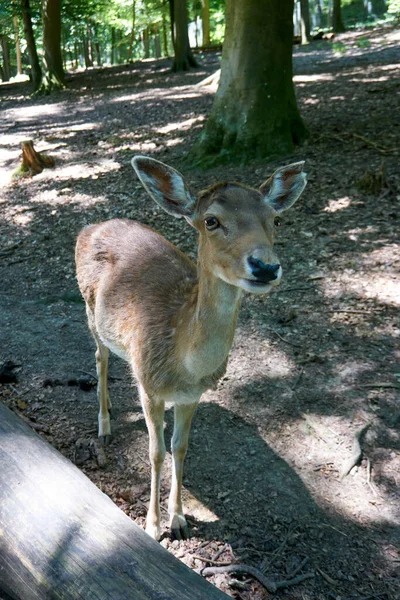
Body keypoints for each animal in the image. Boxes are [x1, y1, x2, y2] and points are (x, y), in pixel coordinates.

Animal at [75, 157, 306, 540]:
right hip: (90, 310)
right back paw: (104, 425)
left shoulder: (192, 395)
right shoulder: (150, 387)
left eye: (276, 219)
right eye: (211, 220)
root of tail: (89, 227)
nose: (265, 266)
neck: (184, 366)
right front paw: (153, 525)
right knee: (99, 357)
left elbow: (179, 448)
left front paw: (179, 520)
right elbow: (155, 451)